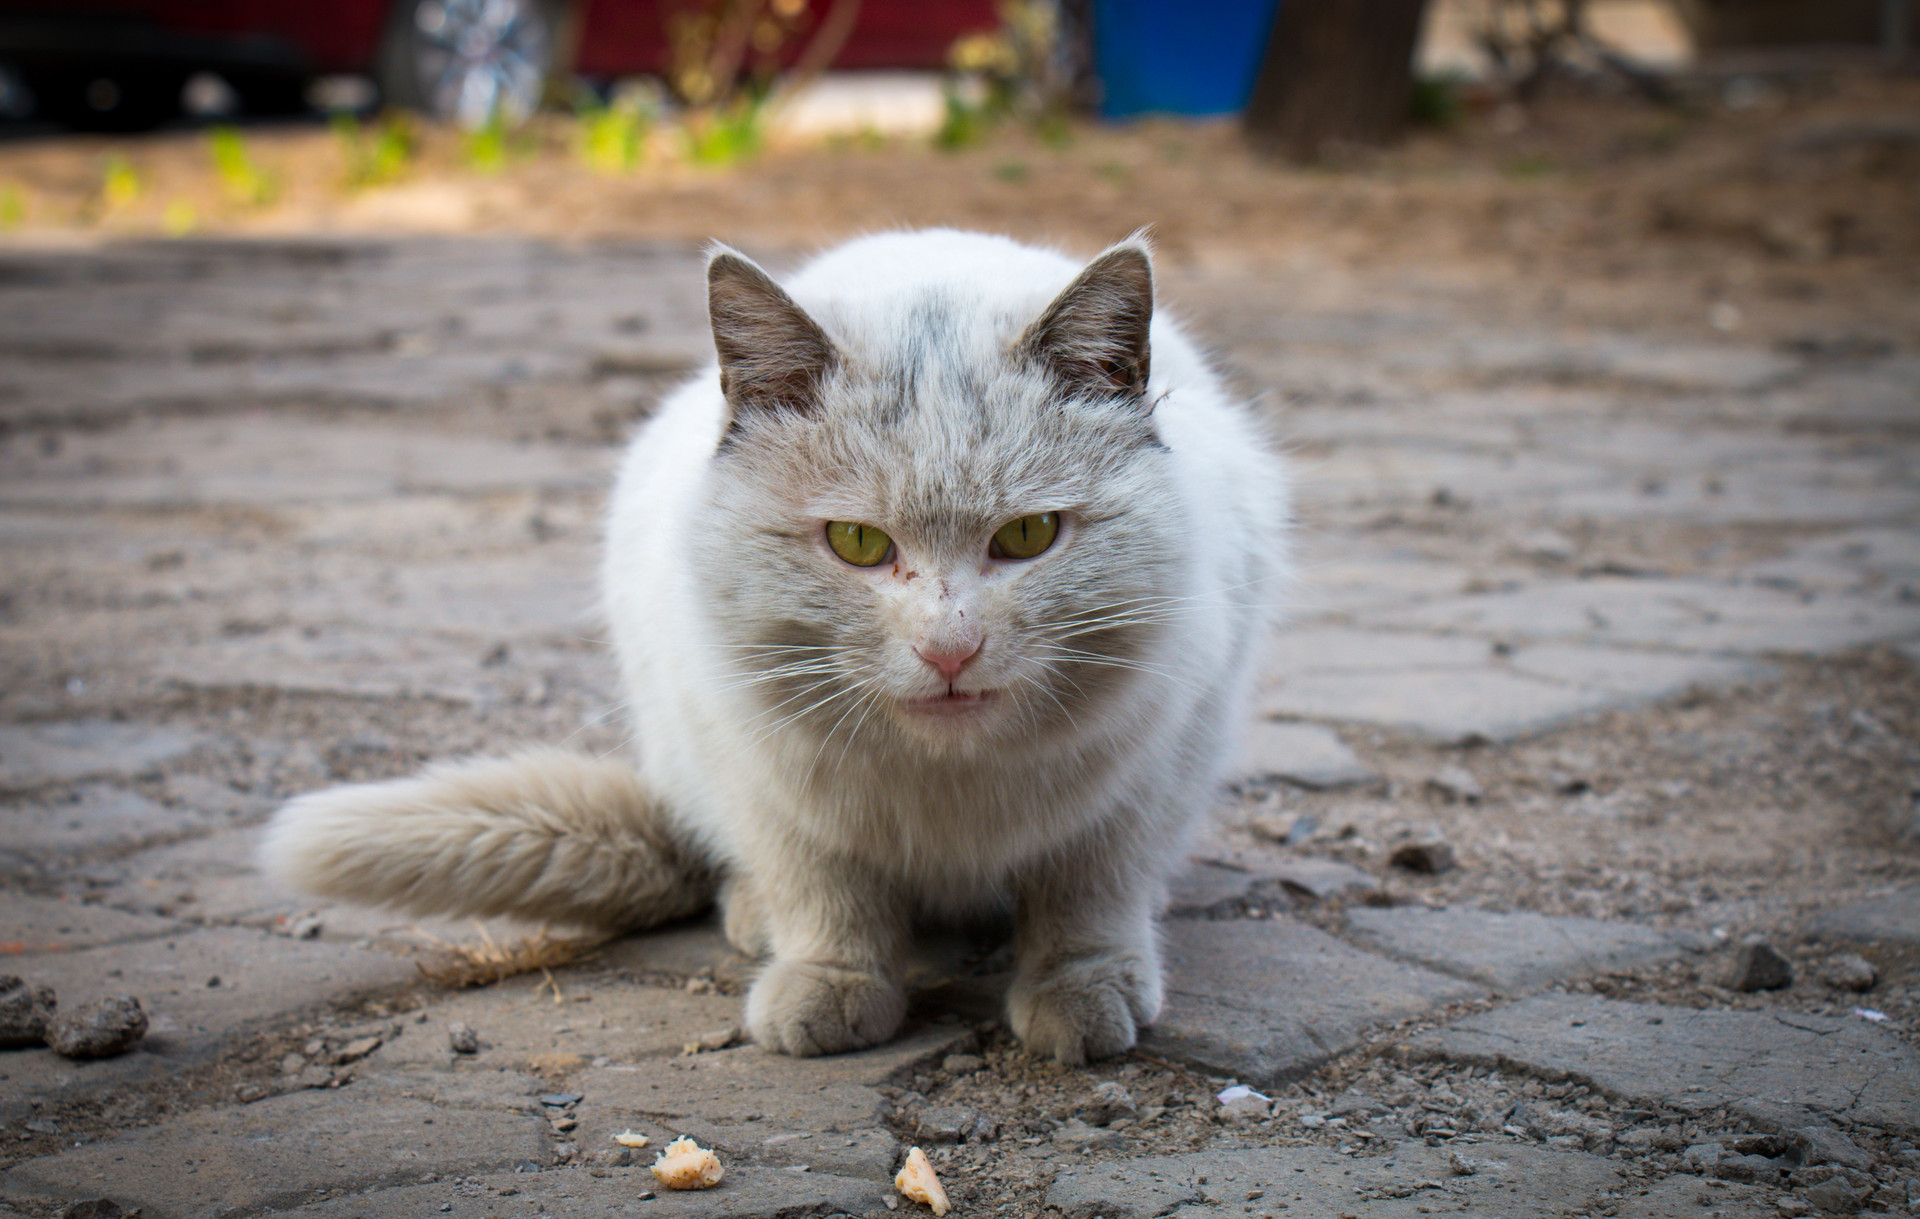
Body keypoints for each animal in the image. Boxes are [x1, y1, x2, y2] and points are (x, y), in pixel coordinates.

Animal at [263, 231, 1290, 1067]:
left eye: (1030, 535)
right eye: (859, 543)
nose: (950, 649)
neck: (950, 783)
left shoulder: (1154, 766)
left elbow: (1090, 890)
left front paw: (1082, 993)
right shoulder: (763, 771)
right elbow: (824, 887)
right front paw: (828, 986)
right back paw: (753, 918)